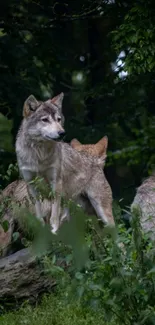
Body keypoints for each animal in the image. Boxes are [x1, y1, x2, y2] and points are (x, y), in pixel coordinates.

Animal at [15, 93, 115, 233]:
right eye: (45, 120)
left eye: (58, 119)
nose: (62, 132)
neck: (39, 155)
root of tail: (96, 161)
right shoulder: (31, 185)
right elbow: (39, 217)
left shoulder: (55, 184)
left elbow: (54, 216)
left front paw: (53, 232)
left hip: (102, 213)